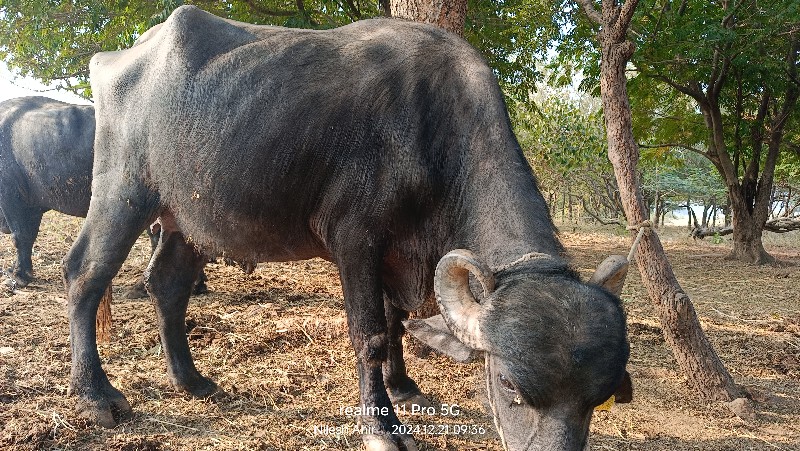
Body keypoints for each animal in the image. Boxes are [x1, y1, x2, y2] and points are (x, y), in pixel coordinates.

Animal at [64, 5, 632, 450]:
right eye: (511, 387)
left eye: (598, 400)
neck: (429, 127)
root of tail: (117, 58)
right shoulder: (355, 239)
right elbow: (371, 333)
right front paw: (383, 426)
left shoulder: (397, 252)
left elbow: (396, 319)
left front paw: (403, 386)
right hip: (122, 192)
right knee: (84, 275)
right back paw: (97, 396)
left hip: (187, 218)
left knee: (168, 285)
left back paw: (191, 379)